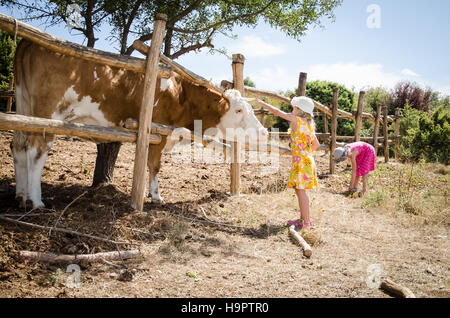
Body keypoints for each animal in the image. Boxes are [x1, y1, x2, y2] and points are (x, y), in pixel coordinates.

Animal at [12, 39, 268, 209]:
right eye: (239, 109)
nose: (264, 131)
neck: (180, 92)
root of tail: (29, 42)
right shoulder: (158, 132)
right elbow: (154, 165)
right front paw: (155, 196)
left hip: (24, 106)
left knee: (19, 147)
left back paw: (21, 196)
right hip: (48, 115)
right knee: (36, 151)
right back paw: (37, 201)